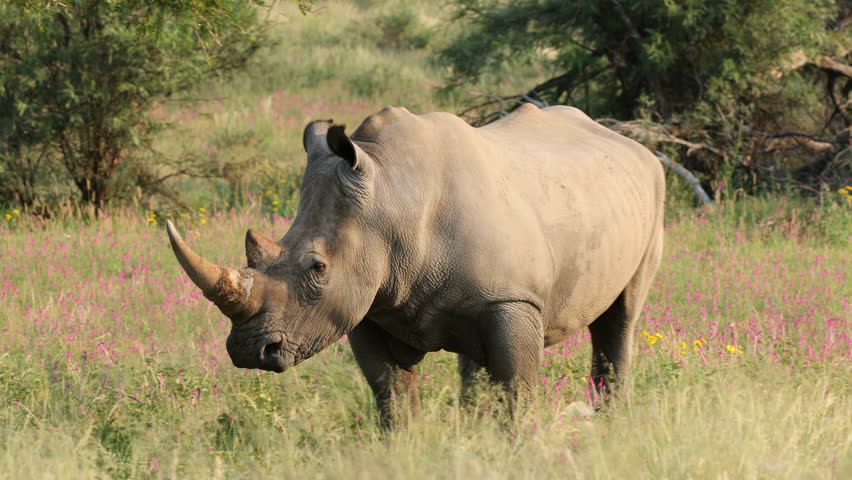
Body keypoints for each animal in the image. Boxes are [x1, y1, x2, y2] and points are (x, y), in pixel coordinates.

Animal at [166, 104, 664, 427]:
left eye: (317, 268)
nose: (249, 352)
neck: (391, 200)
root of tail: (629, 142)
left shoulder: (512, 297)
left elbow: (516, 390)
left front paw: (517, 447)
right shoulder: (367, 304)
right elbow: (390, 393)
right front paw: (407, 448)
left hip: (651, 188)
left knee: (621, 317)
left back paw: (610, 422)